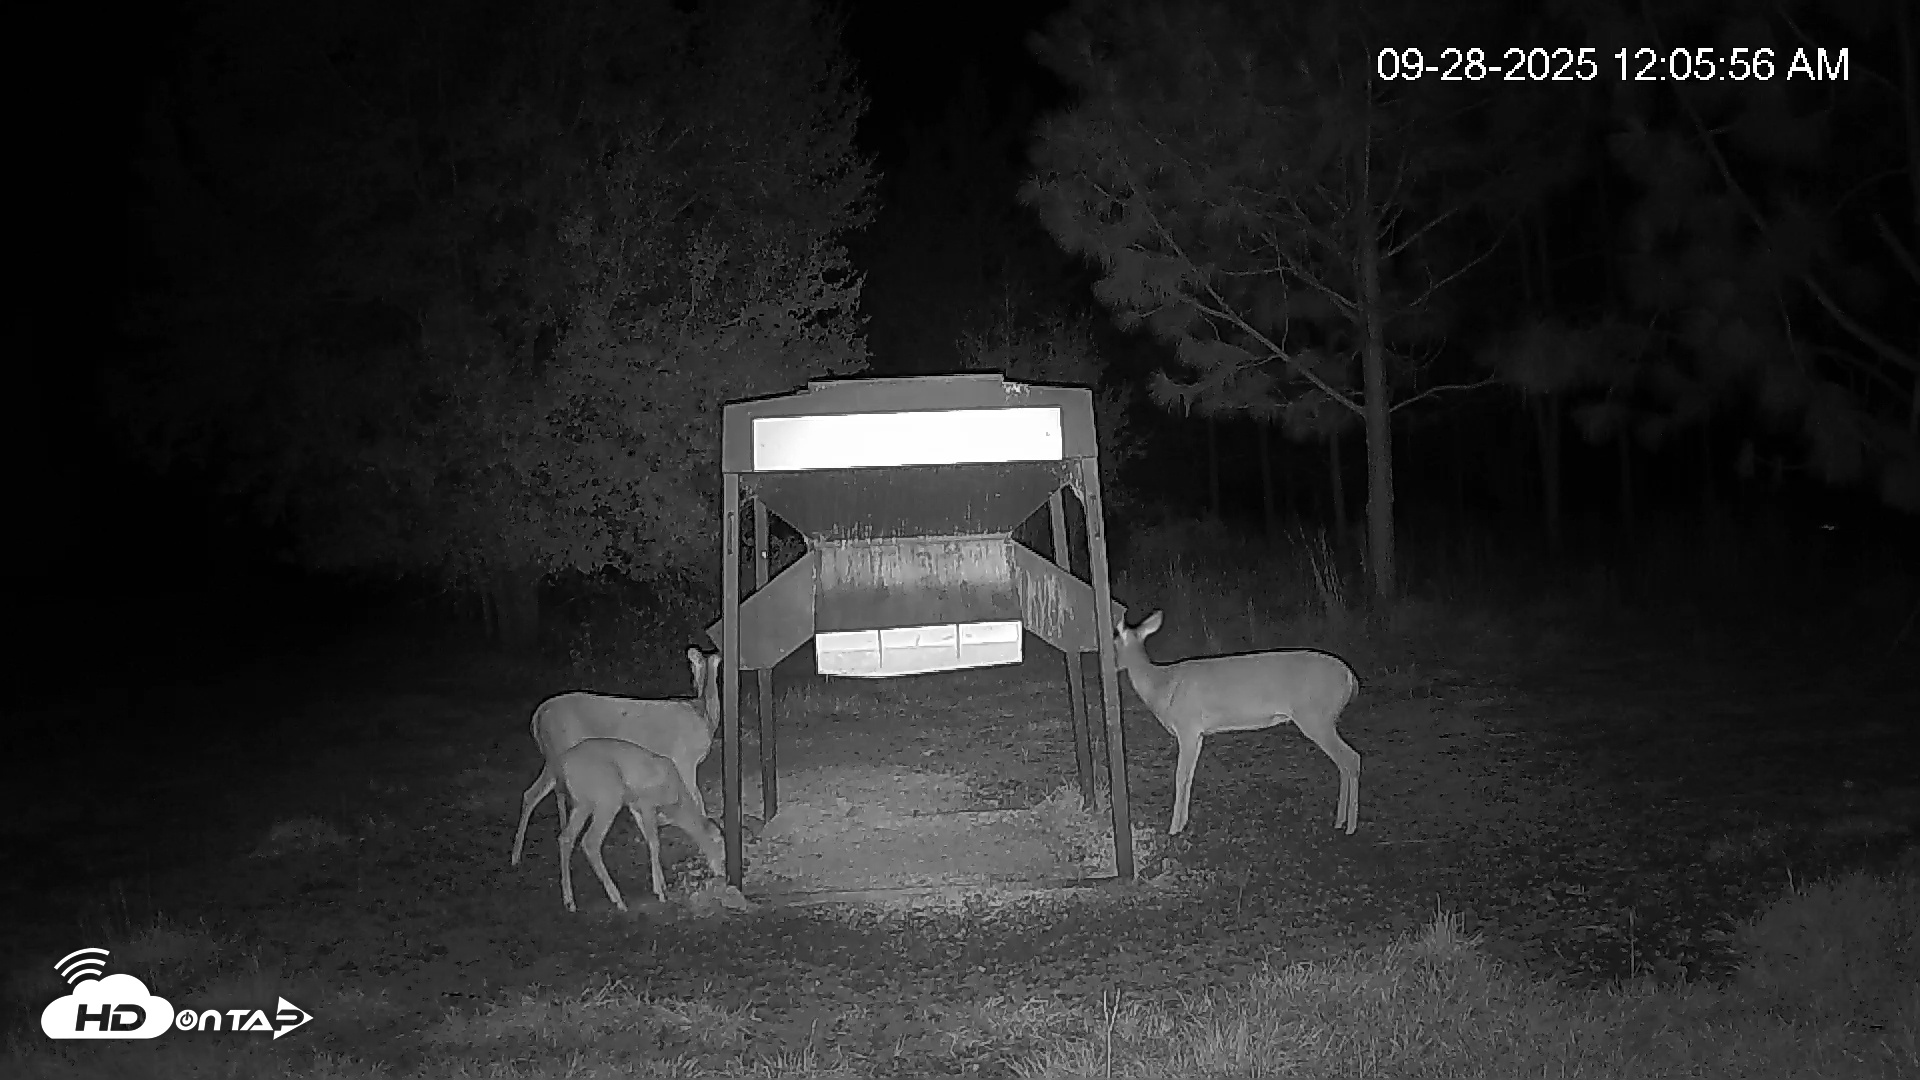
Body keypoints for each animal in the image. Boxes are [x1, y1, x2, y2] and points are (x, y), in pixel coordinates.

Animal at [510, 647, 723, 866]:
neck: (704, 715)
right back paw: (517, 854)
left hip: (554, 755)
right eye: (692, 666)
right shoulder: (684, 759)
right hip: (560, 749)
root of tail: (538, 714)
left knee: (541, 793)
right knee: (539, 793)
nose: (694, 682)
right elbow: (696, 796)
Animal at [557, 737, 726, 912]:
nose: (721, 873)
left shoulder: (636, 809)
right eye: (719, 844)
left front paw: (662, 883)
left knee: (566, 837)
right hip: (608, 796)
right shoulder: (646, 803)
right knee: (590, 841)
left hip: (582, 803)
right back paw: (618, 899)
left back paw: (569, 901)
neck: (677, 803)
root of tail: (563, 764)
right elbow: (655, 843)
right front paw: (660, 892)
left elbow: (650, 841)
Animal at [1114, 610, 1360, 836]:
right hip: (1324, 719)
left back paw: (1350, 826)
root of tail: (1351, 677)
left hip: (1315, 717)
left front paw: (1173, 828)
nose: (1112, 664)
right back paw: (1340, 821)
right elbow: (1190, 776)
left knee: (1351, 758)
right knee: (1345, 762)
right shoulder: (1198, 734)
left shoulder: (1187, 726)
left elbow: (1180, 776)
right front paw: (1183, 823)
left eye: (1114, 642)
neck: (1162, 685)